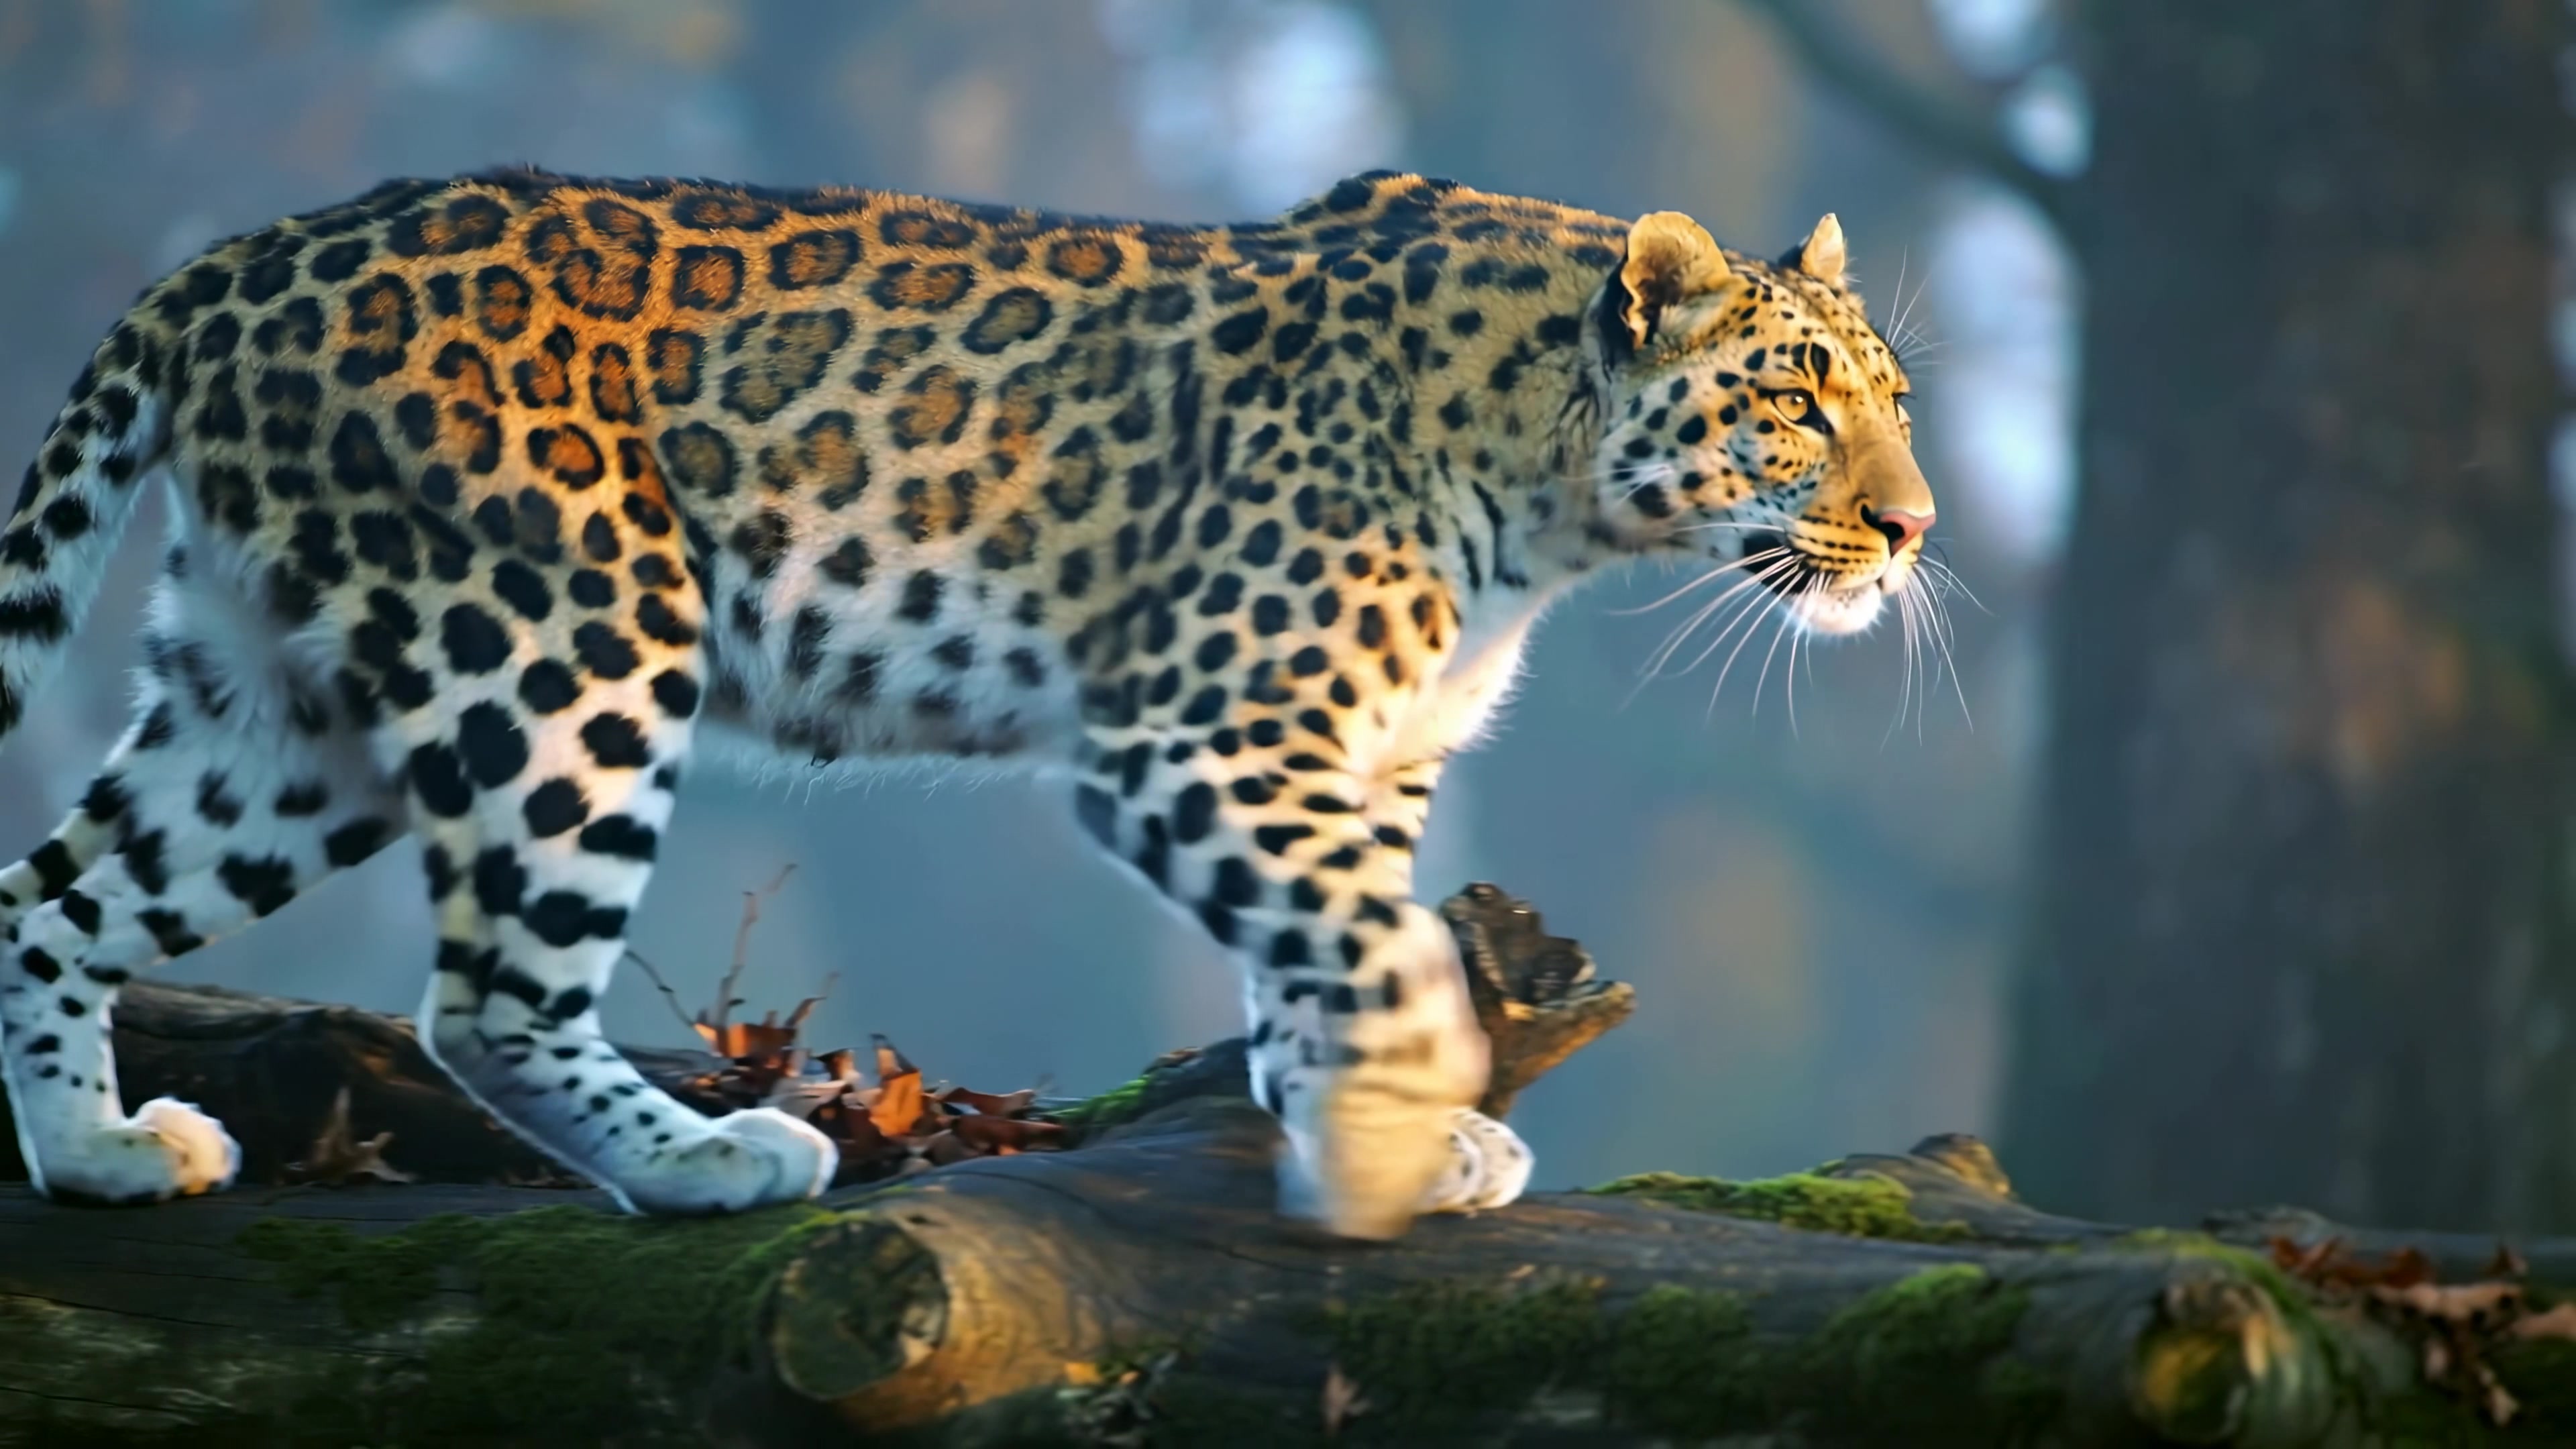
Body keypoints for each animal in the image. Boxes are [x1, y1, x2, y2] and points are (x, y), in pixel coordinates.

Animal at [0, 166, 1932, 1240]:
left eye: (1896, 398)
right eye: (1796, 400)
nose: (1915, 527)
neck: (1555, 495)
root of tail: (237, 260)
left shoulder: (1359, 765)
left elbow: (1330, 951)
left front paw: (1367, 1126)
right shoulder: (1201, 739)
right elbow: (1382, 957)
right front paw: (1390, 1149)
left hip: (278, 709)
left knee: (48, 898)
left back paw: (97, 1153)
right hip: (566, 646)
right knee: (484, 1001)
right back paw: (708, 1165)